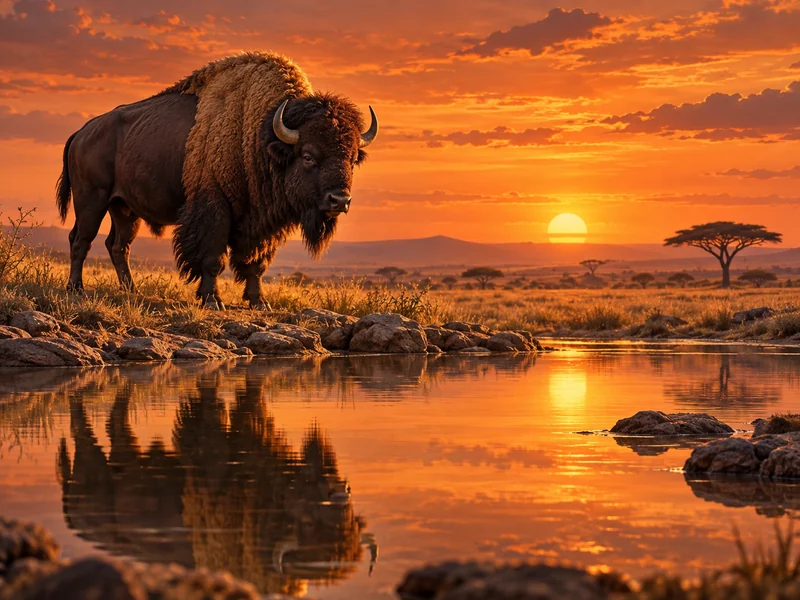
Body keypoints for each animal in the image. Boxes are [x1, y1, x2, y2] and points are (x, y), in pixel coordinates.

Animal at [56, 52, 378, 309]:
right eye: (308, 156)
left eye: (352, 158)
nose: (339, 200)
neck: (260, 136)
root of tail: (82, 132)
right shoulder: (214, 208)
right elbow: (213, 258)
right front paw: (213, 300)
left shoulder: (260, 223)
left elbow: (255, 263)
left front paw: (259, 302)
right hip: (91, 201)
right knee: (81, 239)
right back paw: (76, 289)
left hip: (124, 209)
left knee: (118, 246)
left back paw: (130, 291)